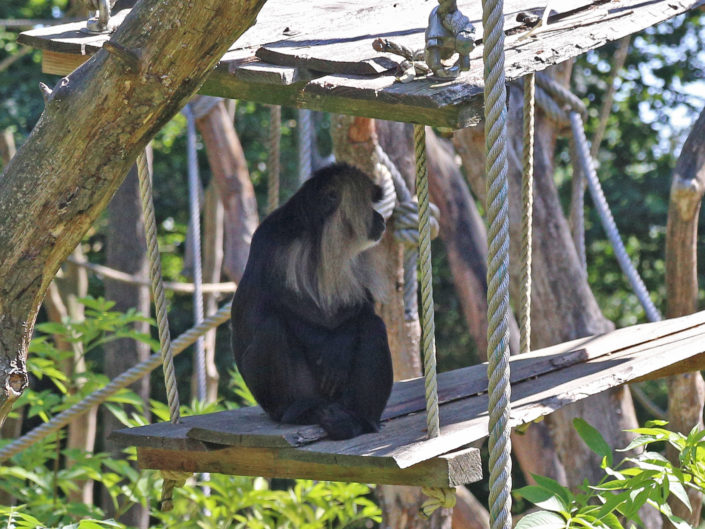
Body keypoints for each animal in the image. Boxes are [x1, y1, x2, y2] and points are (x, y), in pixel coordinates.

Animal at [231, 163, 393, 441]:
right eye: (368, 205)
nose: (380, 218)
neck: (320, 237)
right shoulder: (278, 246)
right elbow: (287, 308)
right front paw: (335, 349)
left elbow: (361, 310)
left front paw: (342, 341)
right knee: (271, 327)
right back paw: (295, 411)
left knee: (372, 325)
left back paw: (358, 421)